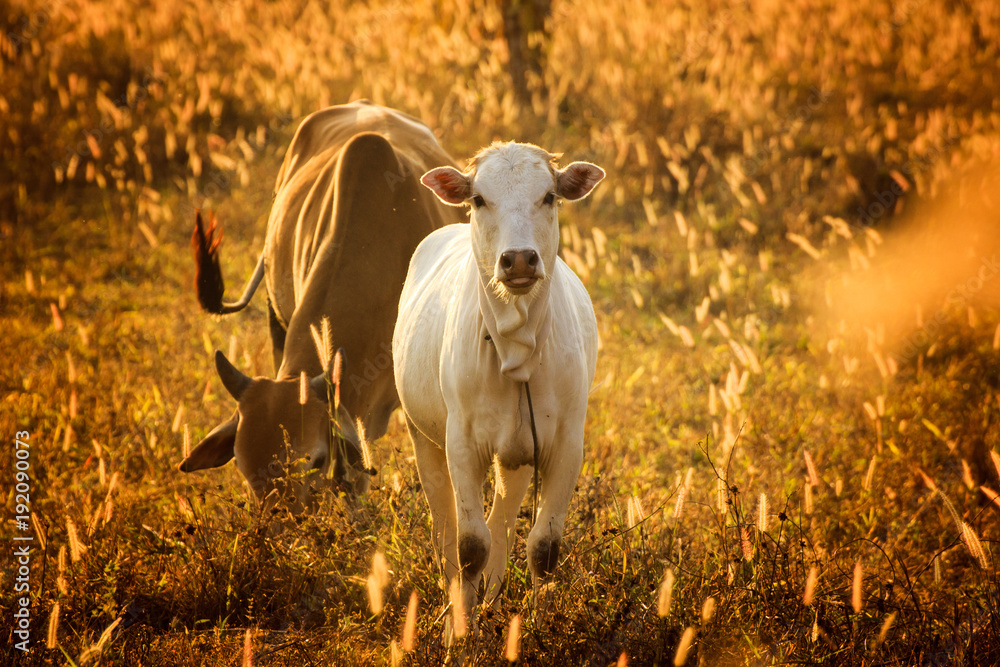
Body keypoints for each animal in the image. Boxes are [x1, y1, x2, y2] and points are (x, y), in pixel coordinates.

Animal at [392, 142, 604, 622]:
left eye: (549, 196)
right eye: (478, 199)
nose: (519, 259)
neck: (516, 348)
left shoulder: (565, 444)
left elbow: (544, 547)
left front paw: (542, 624)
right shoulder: (461, 442)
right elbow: (470, 544)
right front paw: (460, 629)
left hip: (519, 451)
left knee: (504, 517)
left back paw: (490, 592)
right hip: (422, 436)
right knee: (445, 525)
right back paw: (454, 594)